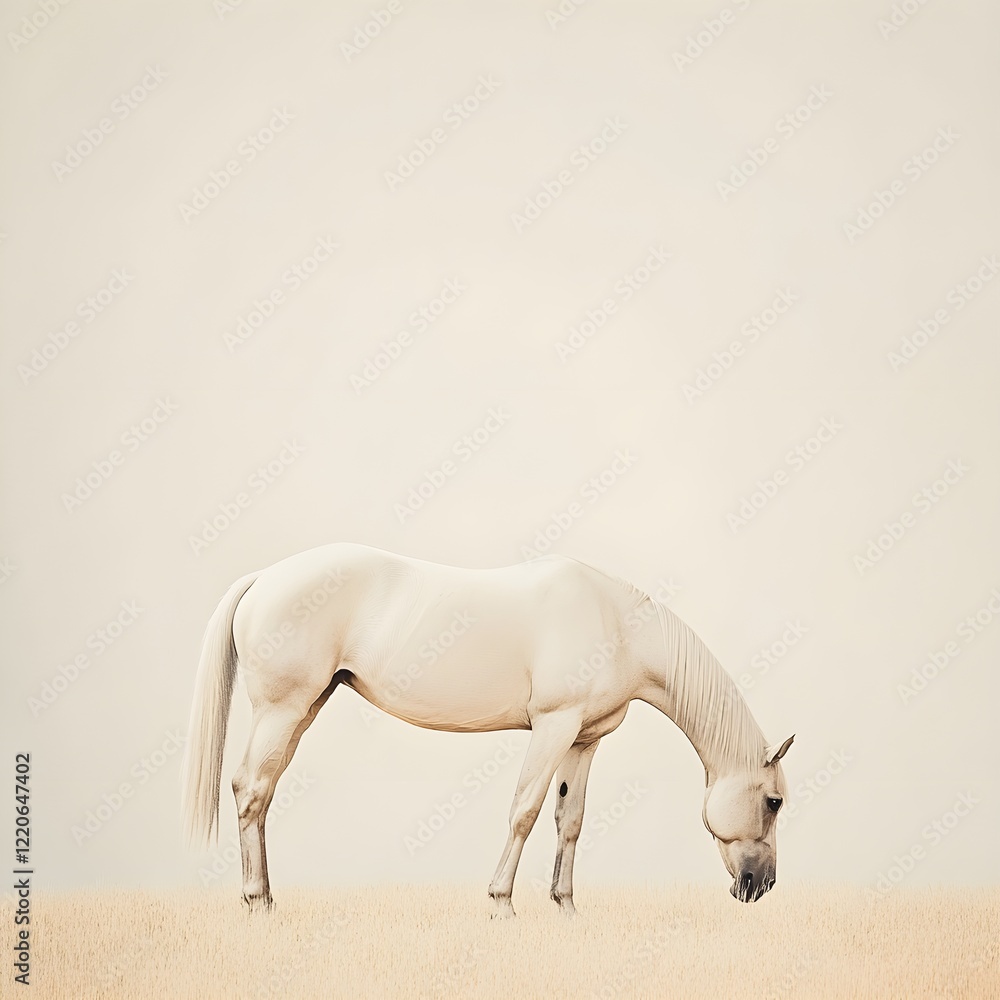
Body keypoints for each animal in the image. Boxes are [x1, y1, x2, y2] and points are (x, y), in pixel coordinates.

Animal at [182, 542, 794, 915]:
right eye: (774, 802)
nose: (762, 886)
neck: (617, 625)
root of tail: (264, 578)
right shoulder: (552, 725)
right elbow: (525, 809)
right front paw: (502, 902)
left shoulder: (584, 739)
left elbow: (569, 820)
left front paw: (565, 907)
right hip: (282, 710)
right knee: (250, 790)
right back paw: (257, 902)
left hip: (303, 710)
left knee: (261, 793)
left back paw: (265, 898)